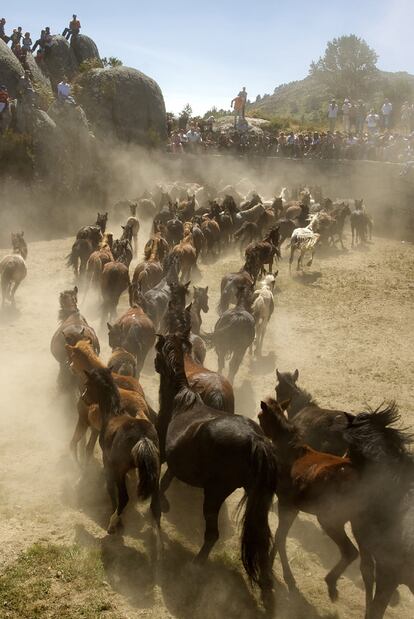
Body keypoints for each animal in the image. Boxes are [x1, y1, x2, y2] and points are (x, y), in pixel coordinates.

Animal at [80, 368, 160, 532]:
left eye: (87, 383)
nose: (83, 398)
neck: (113, 414)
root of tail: (143, 437)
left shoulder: (107, 460)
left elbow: (110, 487)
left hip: (120, 470)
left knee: (124, 497)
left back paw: (112, 523)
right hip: (155, 470)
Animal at [154, 332, 276, 608]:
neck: (181, 398)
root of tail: (256, 440)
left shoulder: (163, 452)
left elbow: (159, 480)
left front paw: (156, 509)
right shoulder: (175, 461)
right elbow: (166, 480)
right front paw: (163, 503)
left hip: (214, 494)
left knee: (212, 534)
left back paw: (196, 564)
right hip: (258, 502)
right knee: (262, 541)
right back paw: (266, 588)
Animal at [258, 400, 360, 604]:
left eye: (260, 416)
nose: (261, 432)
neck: (288, 448)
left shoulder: (287, 504)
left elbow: (280, 536)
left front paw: (283, 574)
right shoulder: (293, 507)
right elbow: (280, 535)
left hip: (330, 520)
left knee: (350, 551)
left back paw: (331, 583)